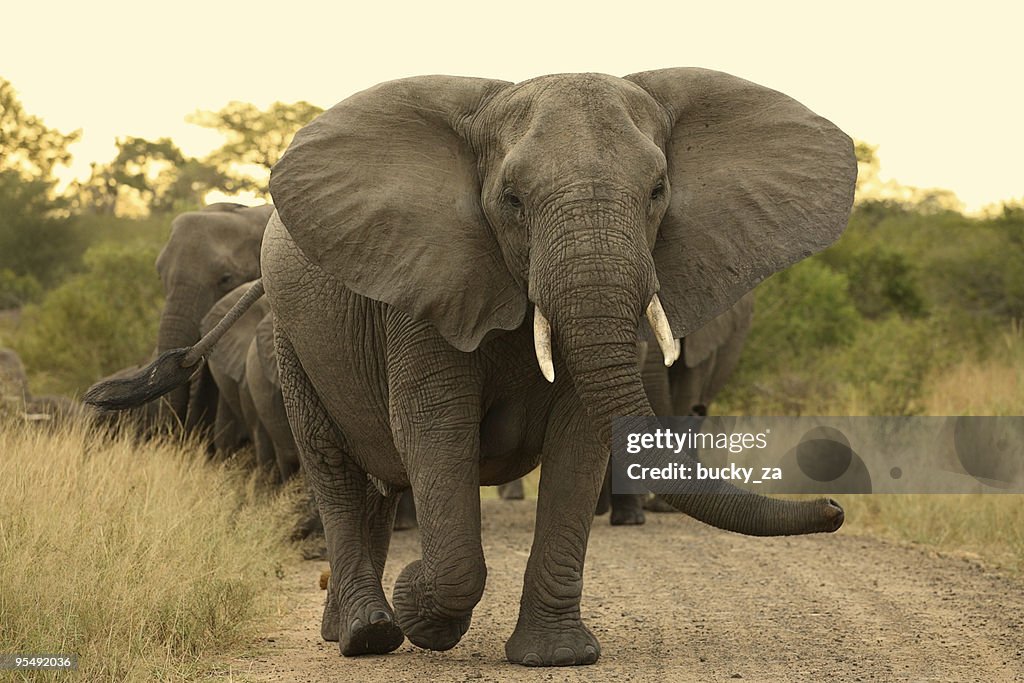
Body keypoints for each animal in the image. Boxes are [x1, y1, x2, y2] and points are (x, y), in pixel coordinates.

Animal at [86, 68, 856, 667]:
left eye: (658, 192)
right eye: (511, 201)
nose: (835, 509)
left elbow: (579, 439)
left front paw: (556, 657)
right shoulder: (423, 288)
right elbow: (435, 432)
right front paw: (420, 605)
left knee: (376, 481)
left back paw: (357, 623)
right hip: (292, 343)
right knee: (337, 469)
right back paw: (365, 635)